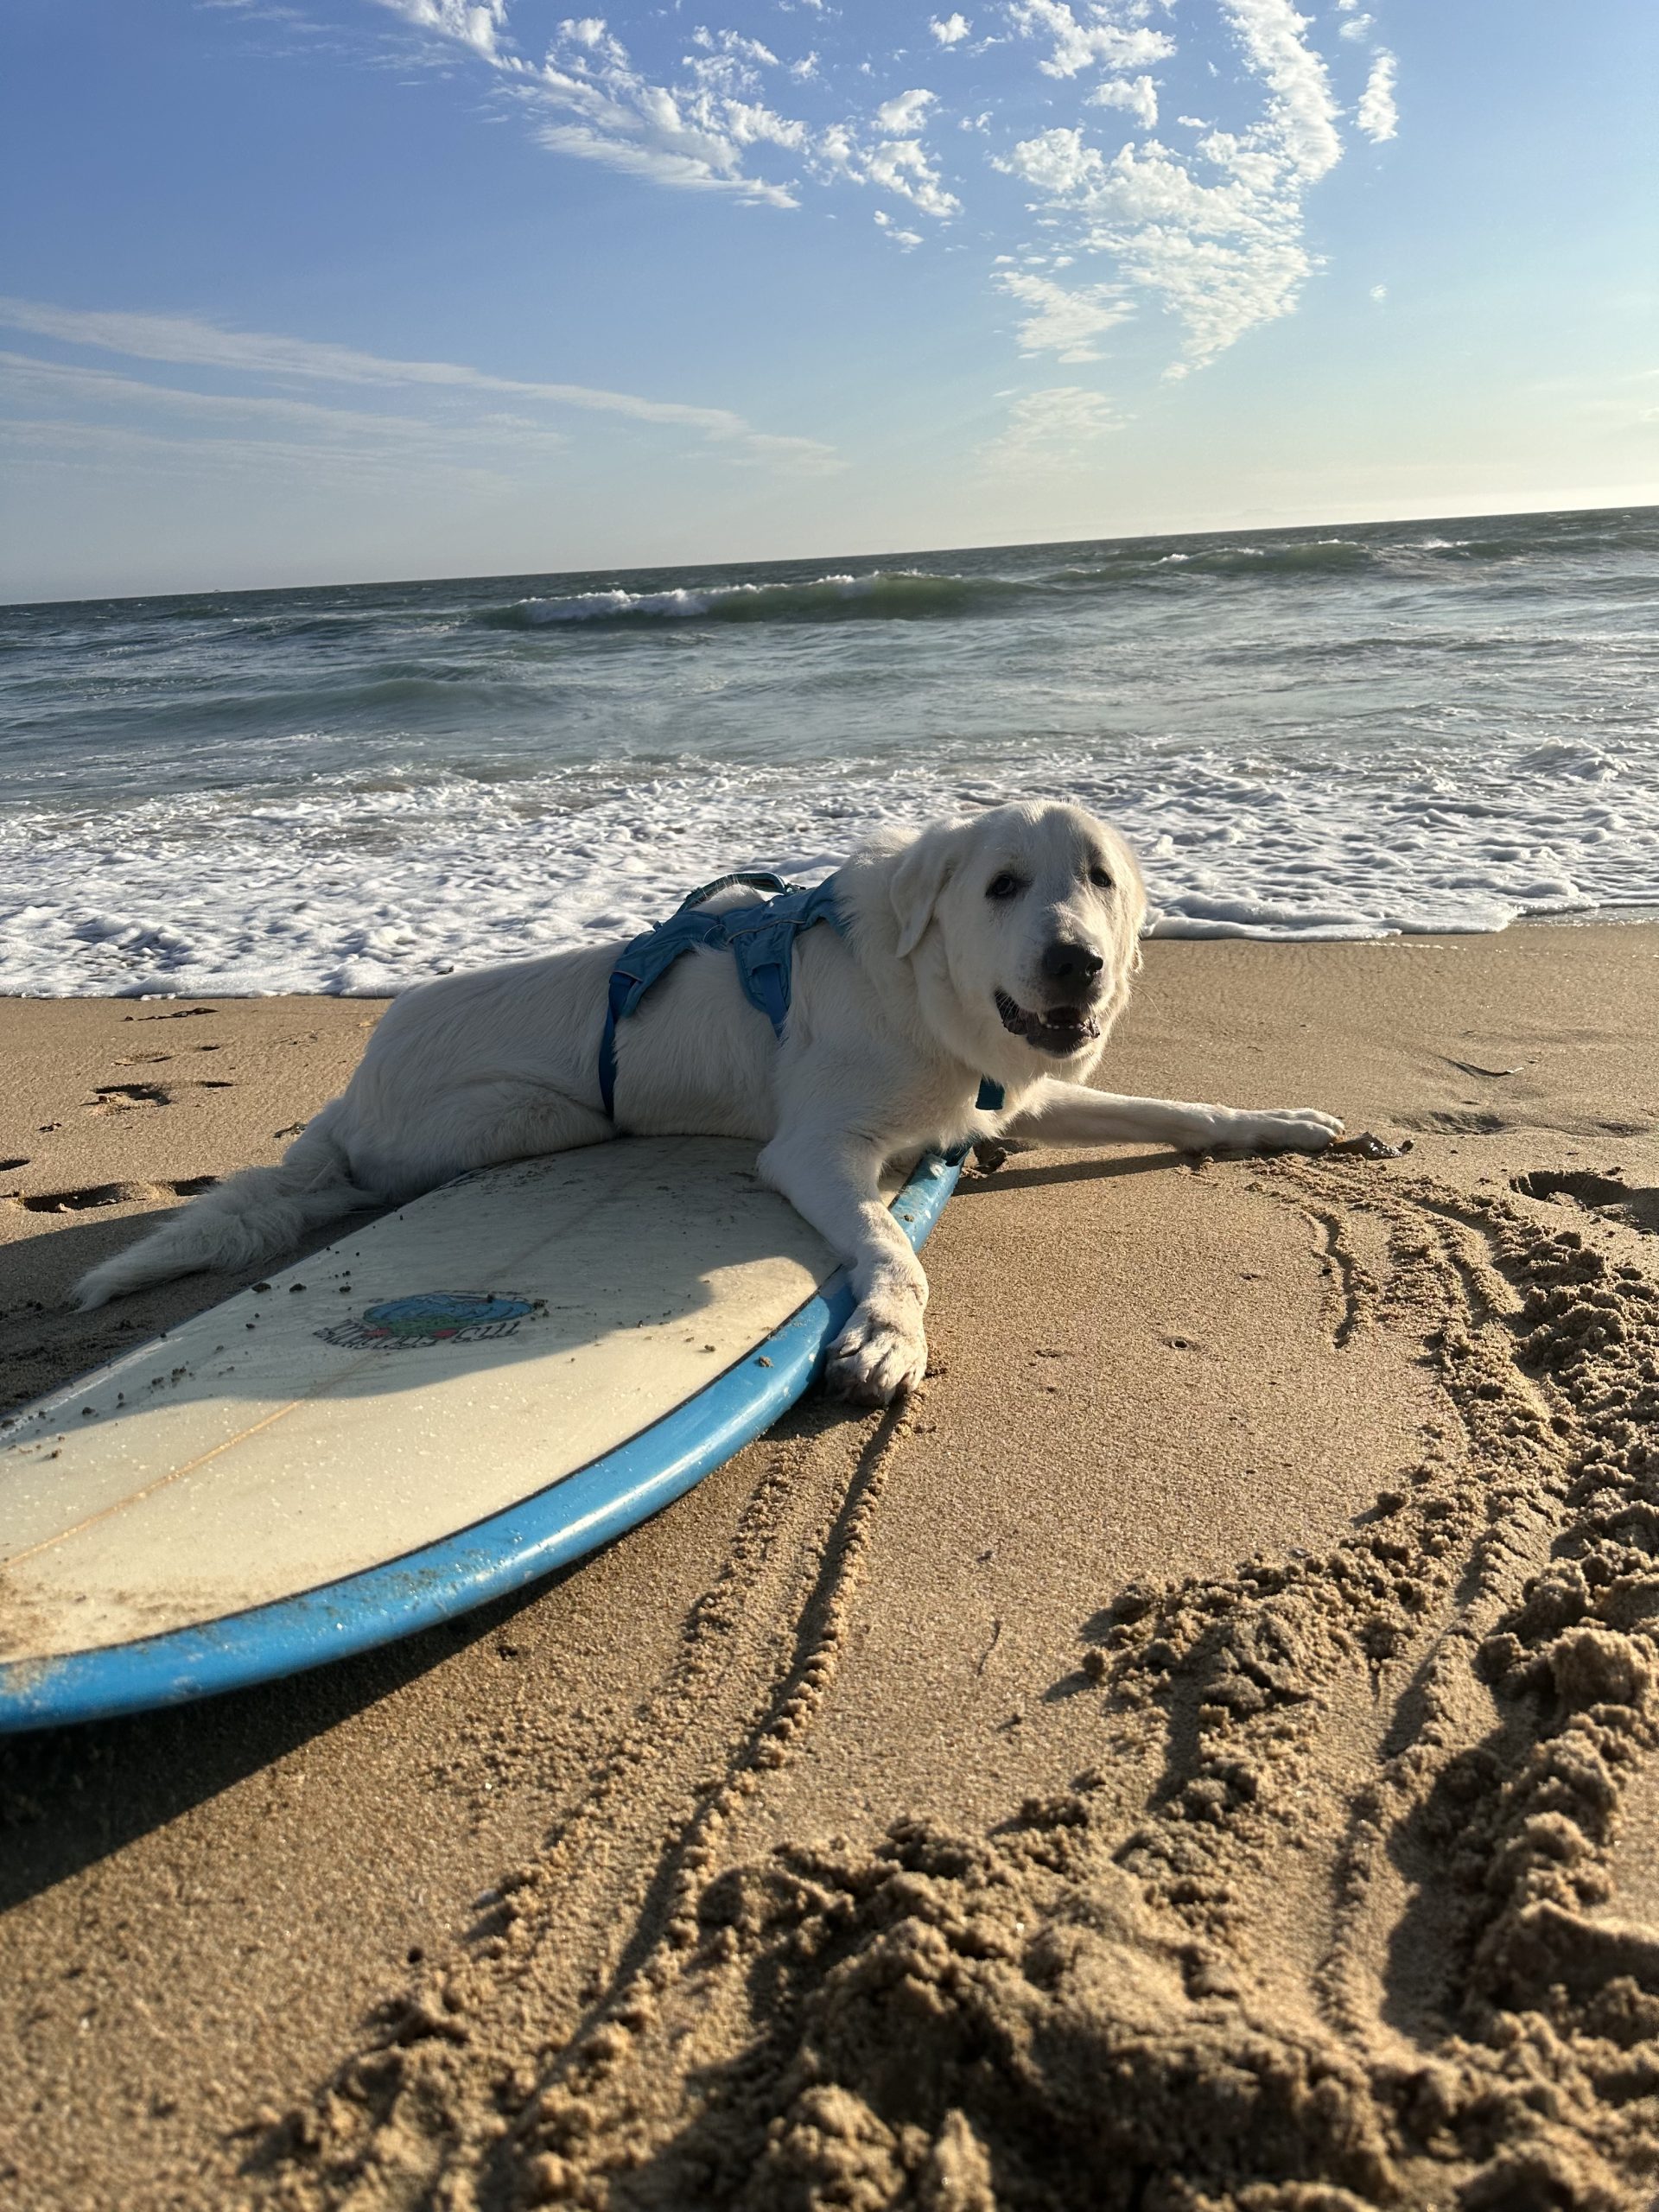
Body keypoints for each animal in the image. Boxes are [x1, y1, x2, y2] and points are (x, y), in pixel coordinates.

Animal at [81, 809, 1353, 1397]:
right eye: (1002, 886)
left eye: (1098, 879)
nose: (1078, 964)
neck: (919, 991)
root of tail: (349, 1094)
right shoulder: (815, 1153)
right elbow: (896, 1250)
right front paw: (888, 1337)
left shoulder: (1004, 1101)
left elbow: (1180, 1108)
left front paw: (1286, 1124)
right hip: (534, 1119)